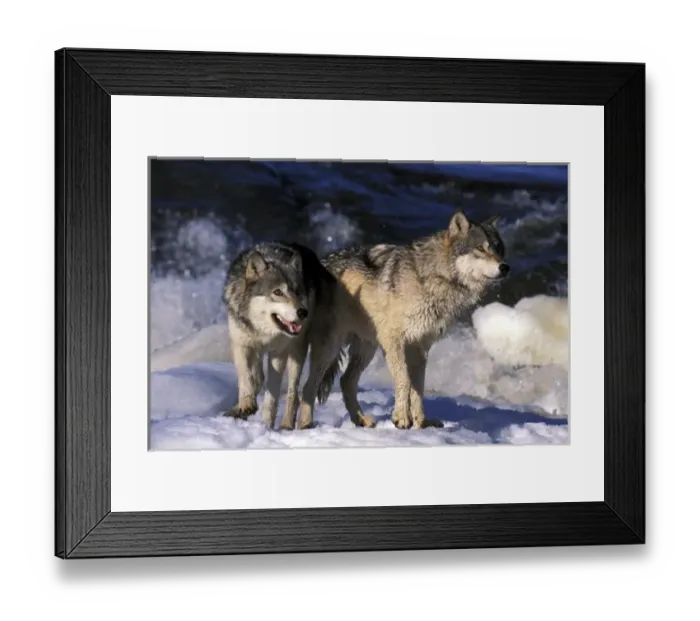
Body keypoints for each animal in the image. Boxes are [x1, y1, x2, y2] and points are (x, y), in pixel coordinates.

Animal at [222, 241, 335, 429]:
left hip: (306, 350)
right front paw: (245, 406)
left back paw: (291, 424)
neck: (263, 331)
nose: (303, 312)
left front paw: (266, 424)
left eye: (297, 291)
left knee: (299, 391)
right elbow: (247, 378)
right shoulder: (241, 345)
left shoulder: (278, 353)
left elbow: (272, 395)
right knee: (261, 378)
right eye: (277, 292)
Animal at [298, 210, 509, 431]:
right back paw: (305, 425)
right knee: (309, 385)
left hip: (366, 349)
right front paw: (401, 418)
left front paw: (420, 422)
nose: (505, 267)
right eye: (480, 249)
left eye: (499, 249)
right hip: (330, 348)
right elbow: (405, 380)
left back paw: (361, 420)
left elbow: (418, 388)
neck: (432, 277)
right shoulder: (394, 341)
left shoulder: (420, 347)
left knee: (346, 381)